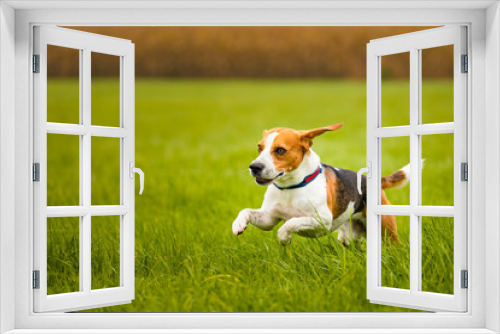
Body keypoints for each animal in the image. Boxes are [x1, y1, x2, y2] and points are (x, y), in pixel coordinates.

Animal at [232, 124, 408, 245]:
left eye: (280, 150)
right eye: (259, 147)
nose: (254, 167)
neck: (290, 188)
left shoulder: (322, 221)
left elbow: (291, 222)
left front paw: (283, 237)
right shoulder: (268, 219)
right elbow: (245, 211)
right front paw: (238, 224)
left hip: (387, 233)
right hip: (348, 237)